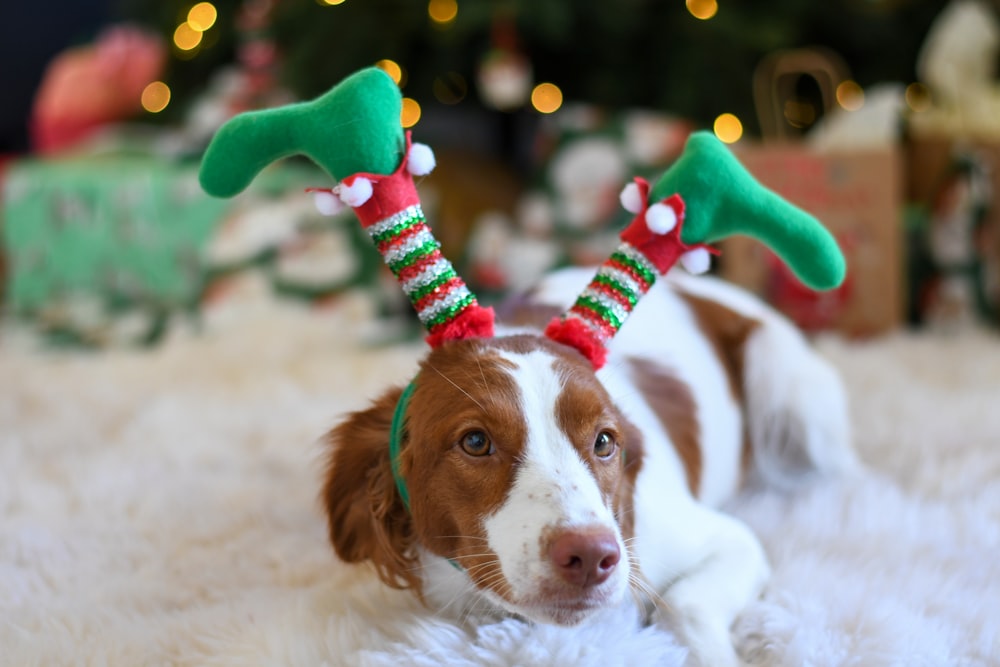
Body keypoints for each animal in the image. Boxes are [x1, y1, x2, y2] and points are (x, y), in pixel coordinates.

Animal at [320, 264, 852, 664]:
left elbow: (685, 603)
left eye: (604, 442)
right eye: (474, 441)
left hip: (789, 386)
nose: (592, 557)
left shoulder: (727, 542)